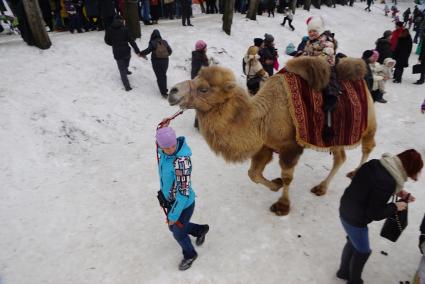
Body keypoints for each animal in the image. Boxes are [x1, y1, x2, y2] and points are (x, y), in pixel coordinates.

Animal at [167, 56, 376, 215]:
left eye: (204, 89)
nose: (172, 91)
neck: (264, 117)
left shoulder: (290, 147)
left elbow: (287, 177)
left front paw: (282, 206)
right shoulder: (265, 146)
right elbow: (253, 174)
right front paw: (275, 185)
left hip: (368, 121)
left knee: (368, 146)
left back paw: (355, 174)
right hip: (336, 136)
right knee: (340, 157)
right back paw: (321, 188)